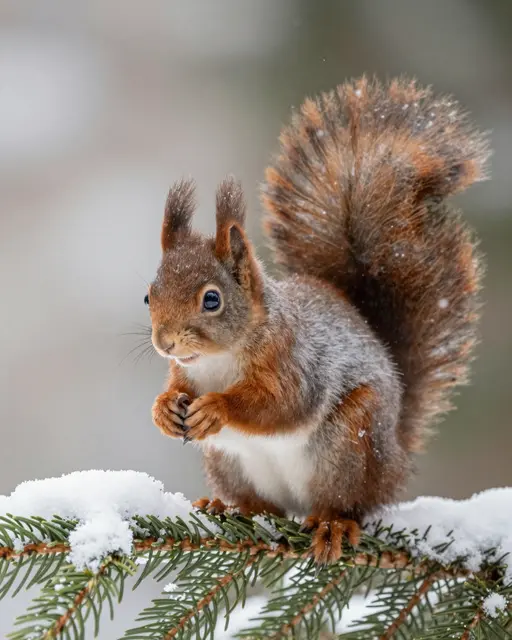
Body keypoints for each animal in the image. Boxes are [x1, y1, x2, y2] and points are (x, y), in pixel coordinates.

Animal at [147, 77, 489, 564]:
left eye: (211, 300)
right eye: (148, 295)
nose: (166, 343)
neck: (218, 360)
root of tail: (396, 459)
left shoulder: (295, 361)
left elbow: (281, 405)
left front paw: (218, 407)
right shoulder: (185, 374)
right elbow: (175, 390)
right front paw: (163, 410)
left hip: (350, 444)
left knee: (348, 503)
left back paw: (332, 525)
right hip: (228, 462)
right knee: (262, 506)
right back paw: (229, 507)